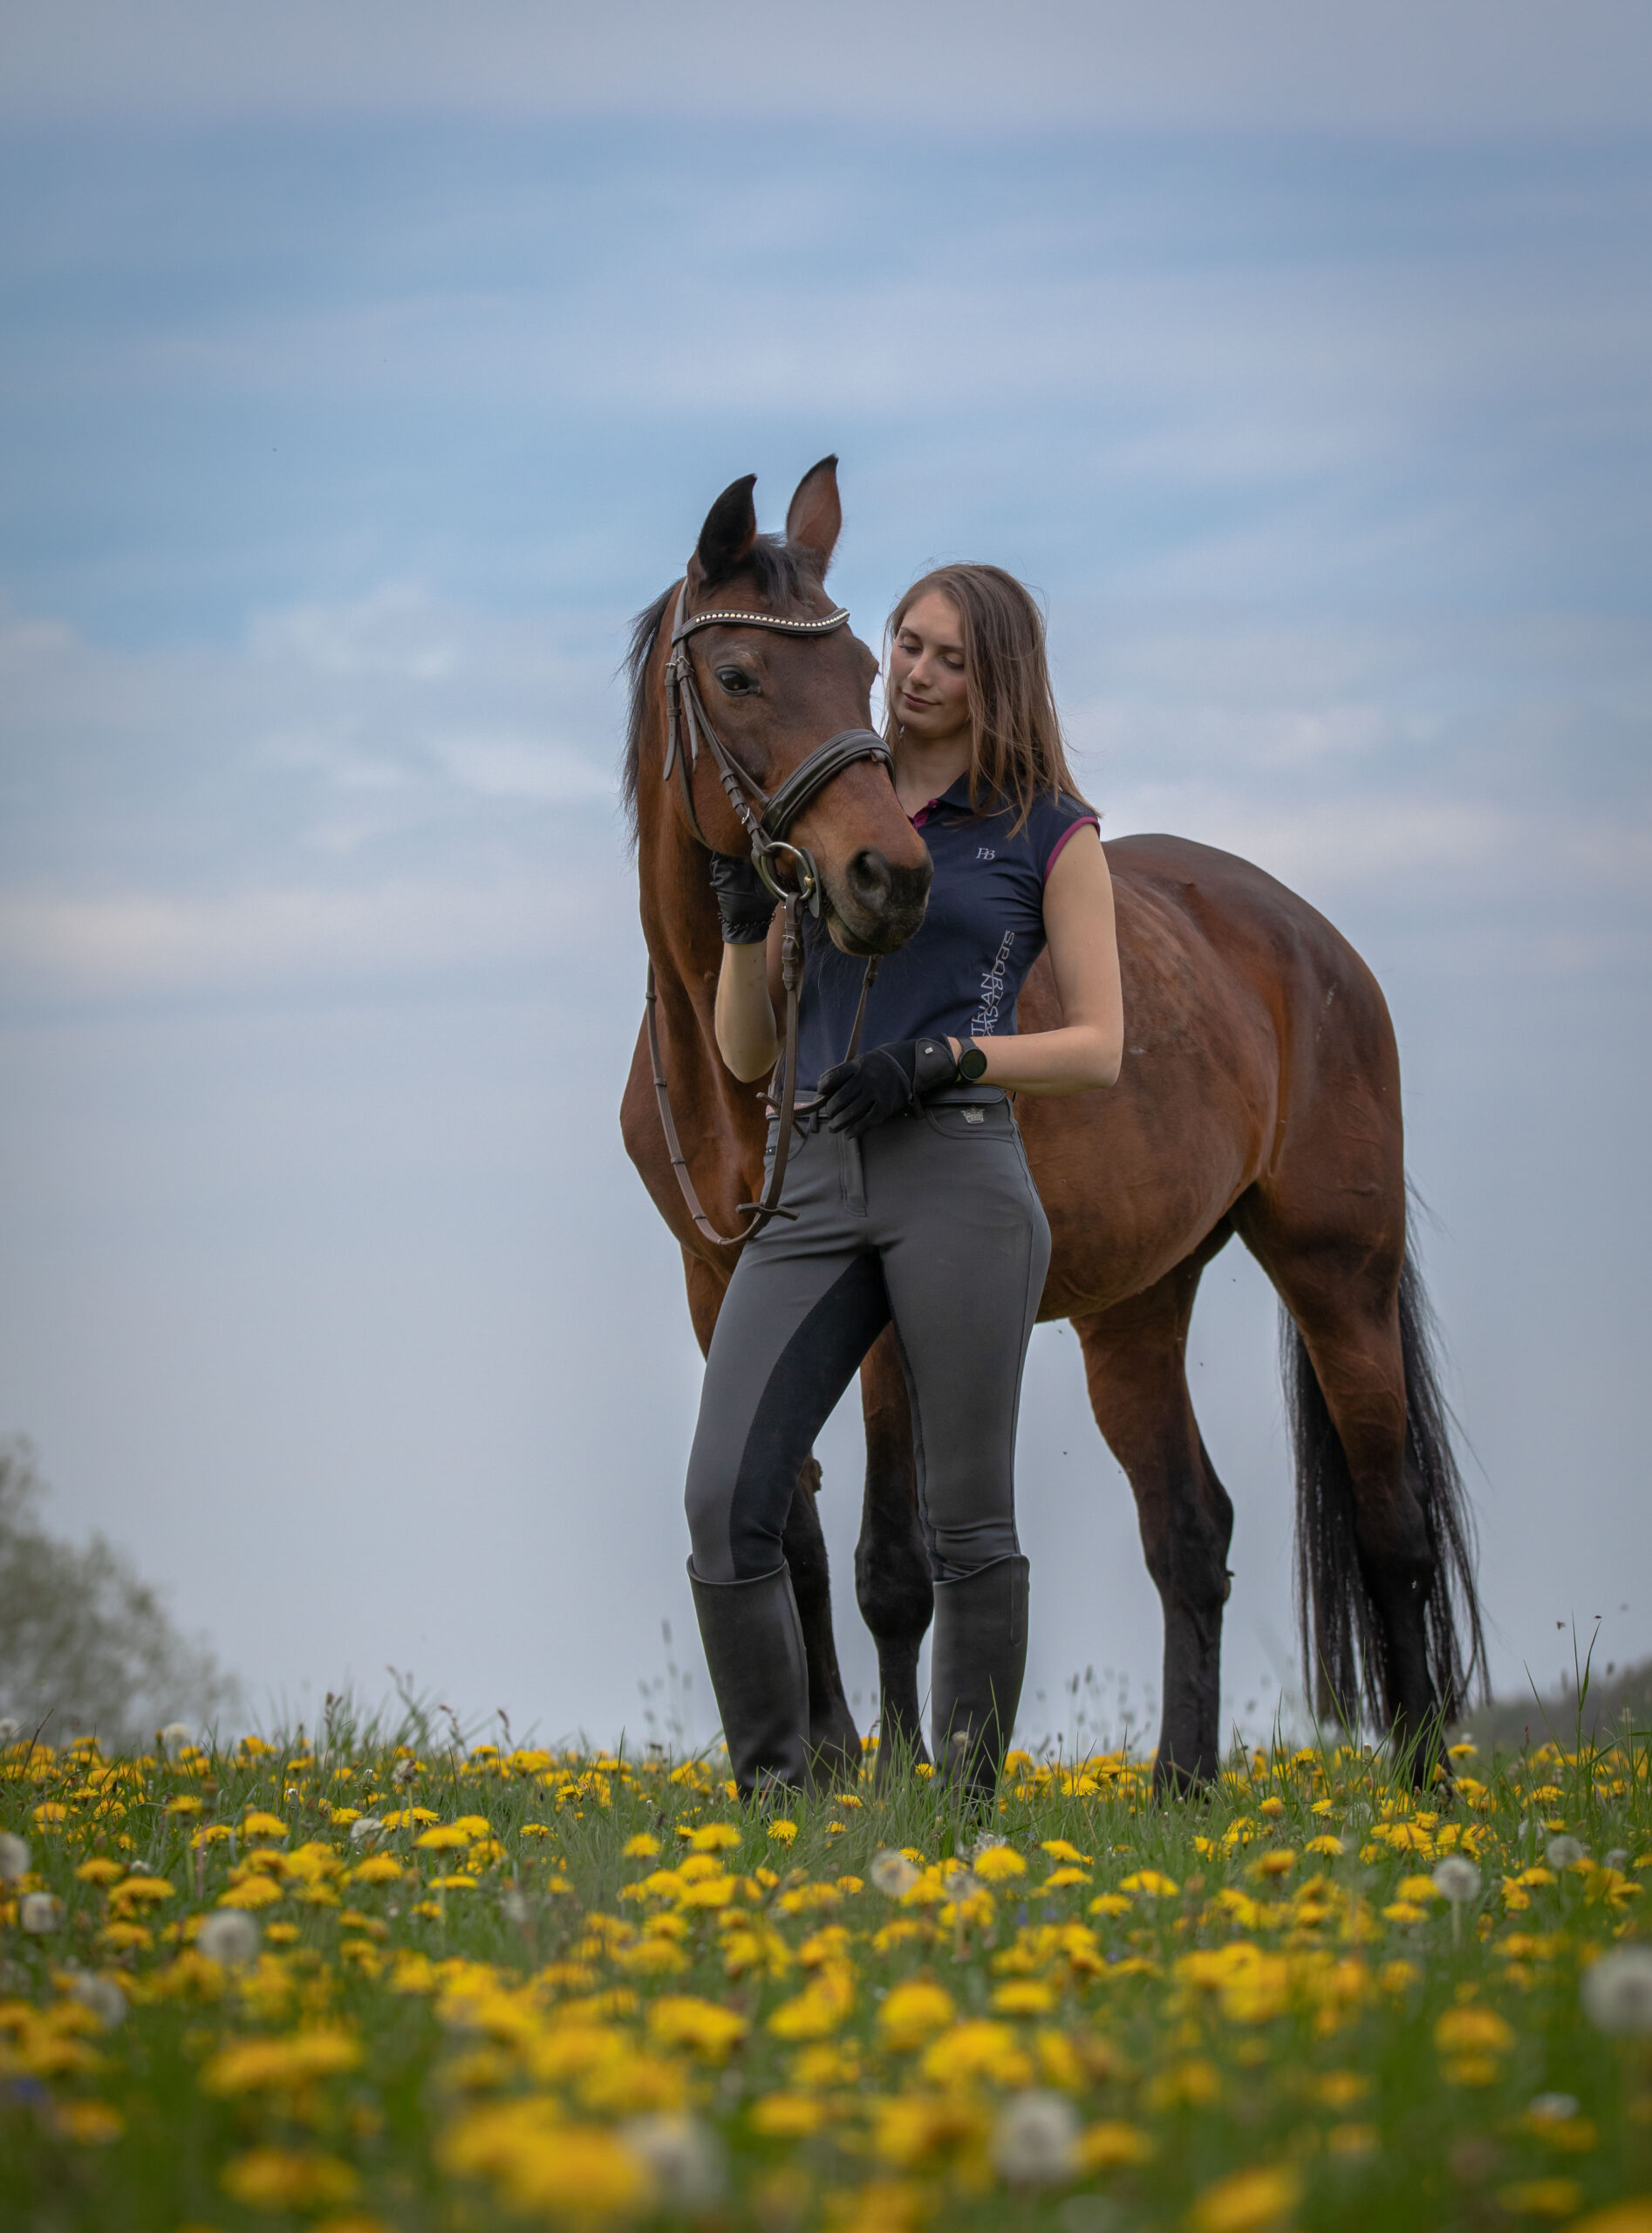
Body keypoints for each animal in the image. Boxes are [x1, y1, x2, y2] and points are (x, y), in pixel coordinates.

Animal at [616, 457, 1482, 1795]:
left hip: (1338, 1272)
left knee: (1391, 1524)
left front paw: (896, 1780)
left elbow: (892, 1565)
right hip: (1137, 1308)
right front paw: (819, 1765)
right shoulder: (723, 1289)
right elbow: (780, 1519)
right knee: (1189, 1527)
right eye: (740, 675)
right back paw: (1182, 1787)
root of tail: (1304, 936)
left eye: (867, 667)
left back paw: (1424, 1785)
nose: (885, 880)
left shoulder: (884, 1333)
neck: (729, 1073)